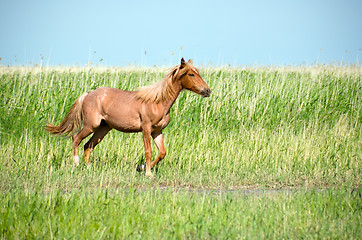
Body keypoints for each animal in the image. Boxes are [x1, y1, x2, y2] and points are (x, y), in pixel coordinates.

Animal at [45, 58, 211, 177]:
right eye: (191, 74)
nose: (207, 91)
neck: (157, 102)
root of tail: (88, 94)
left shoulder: (157, 131)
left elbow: (162, 153)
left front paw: (141, 167)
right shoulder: (146, 129)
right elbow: (149, 151)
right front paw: (148, 173)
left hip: (103, 128)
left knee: (88, 145)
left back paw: (89, 168)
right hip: (91, 125)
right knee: (76, 139)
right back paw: (76, 164)